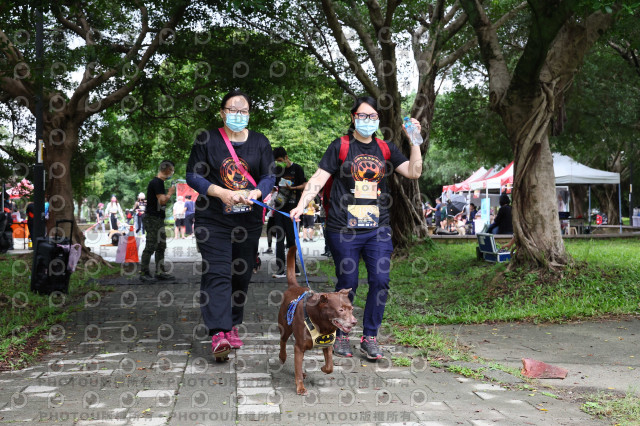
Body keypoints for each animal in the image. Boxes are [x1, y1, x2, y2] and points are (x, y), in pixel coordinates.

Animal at [278, 246, 360, 396]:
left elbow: (330, 366)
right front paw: (300, 388)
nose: (354, 322)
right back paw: (282, 356)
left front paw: (323, 368)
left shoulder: (328, 344)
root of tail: (293, 286)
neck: (323, 324)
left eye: (351, 308)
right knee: (283, 340)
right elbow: (297, 368)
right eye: (340, 310)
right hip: (285, 326)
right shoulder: (299, 347)